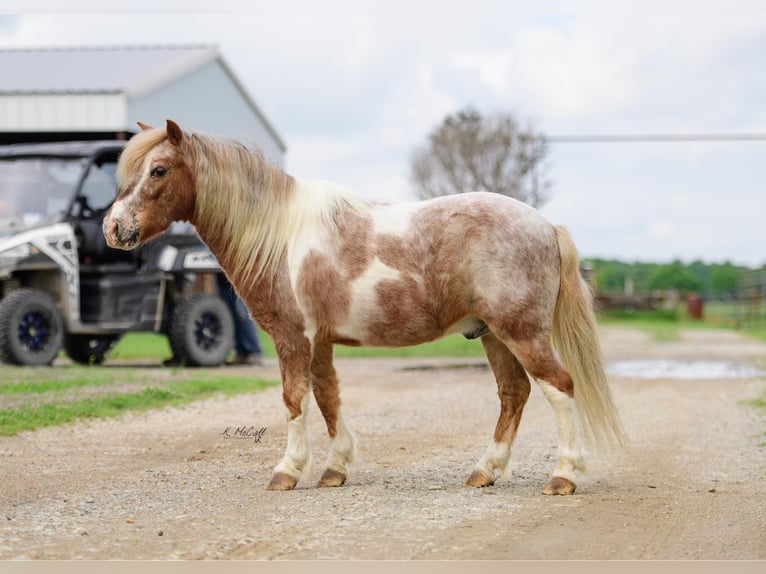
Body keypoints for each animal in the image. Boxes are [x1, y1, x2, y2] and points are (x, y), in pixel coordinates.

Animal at [103, 120, 632, 496]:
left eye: (158, 170)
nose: (113, 228)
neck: (279, 235)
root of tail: (545, 225)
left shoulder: (293, 337)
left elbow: (294, 400)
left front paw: (287, 471)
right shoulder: (320, 342)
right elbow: (328, 398)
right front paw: (334, 469)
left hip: (521, 332)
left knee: (559, 388)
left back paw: (563, 477)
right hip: (495, 335)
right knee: (514, 394)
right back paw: (485, 471)